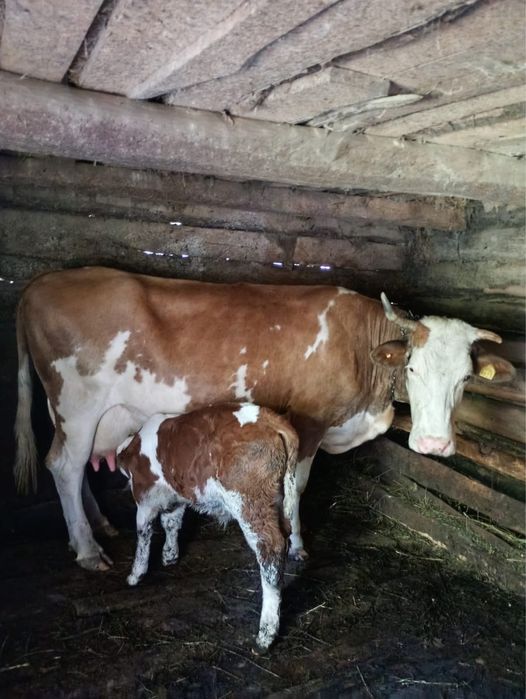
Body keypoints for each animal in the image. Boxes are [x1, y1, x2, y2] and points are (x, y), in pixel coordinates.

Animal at [14, 267, 514, 571]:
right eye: (412, 368)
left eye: (466, 378)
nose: (433, 446)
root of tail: (43, 282)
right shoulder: (308, 422)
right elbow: (296, 486)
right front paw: (297, 545)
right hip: (77, 403)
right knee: (64, 465)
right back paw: (88, 550)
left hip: (81, 414)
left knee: (75, 465)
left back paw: (98, 526)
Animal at [118, 403, 299, 651]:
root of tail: (272, 420)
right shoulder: (176, 497)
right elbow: (171, 523)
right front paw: (169, 555)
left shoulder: (144, 496)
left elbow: (143, 533)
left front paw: (136, 574)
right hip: (281, 499)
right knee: (285, 537)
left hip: (250, 501)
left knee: (270, 549)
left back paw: (266, 635)